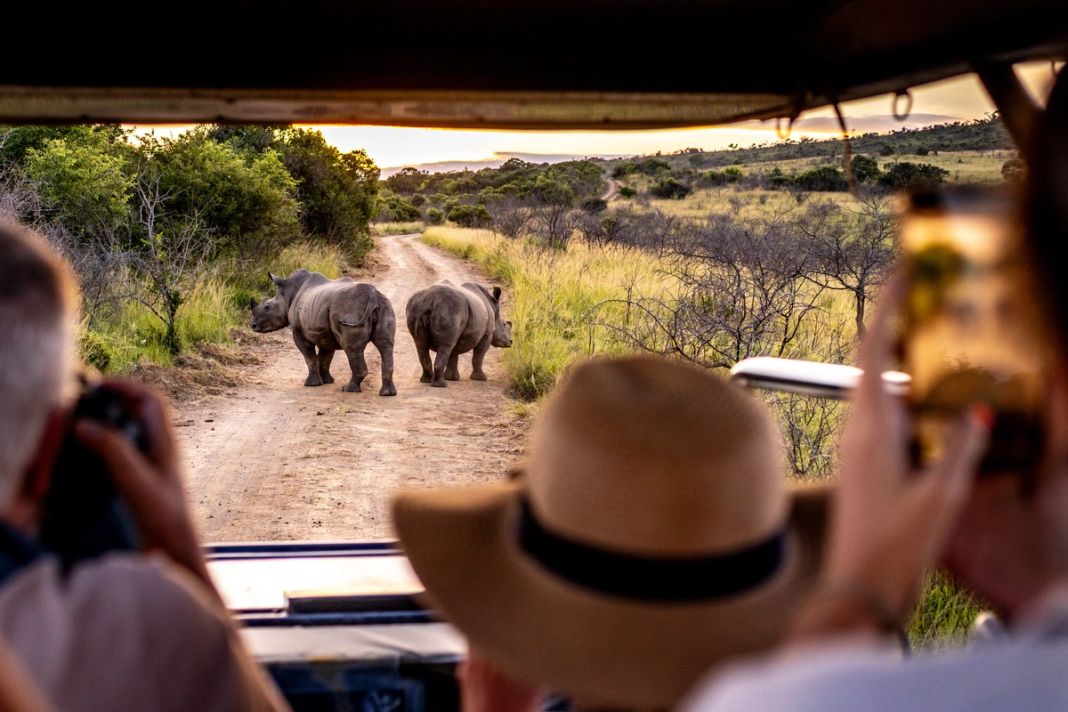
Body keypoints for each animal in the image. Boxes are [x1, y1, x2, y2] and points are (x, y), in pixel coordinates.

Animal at [250, 269, 397, 396]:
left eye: (267, 307)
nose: (253, 325)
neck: (287, 294)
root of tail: (372, 295)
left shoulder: (298, 332)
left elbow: (310, 357)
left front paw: (311, 384)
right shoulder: (325, 333)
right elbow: (325, 357)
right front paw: (327, 381)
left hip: (348, 308)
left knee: (352, 348)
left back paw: (348, 389)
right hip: (385, 305)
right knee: (385, 345)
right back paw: (387, 393)